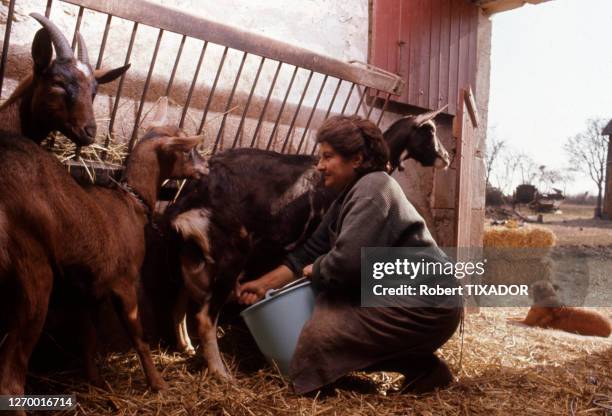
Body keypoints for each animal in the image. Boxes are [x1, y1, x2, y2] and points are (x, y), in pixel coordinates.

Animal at [0, 96, 206, 398]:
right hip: (31, 271)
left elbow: (88, 338)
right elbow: (138, 337)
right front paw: (157, 383)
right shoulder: (124, 283)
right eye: (188, 150)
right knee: (11, 378)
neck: (131, 204)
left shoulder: (86, 293)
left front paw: (95, 381)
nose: (208, 166)